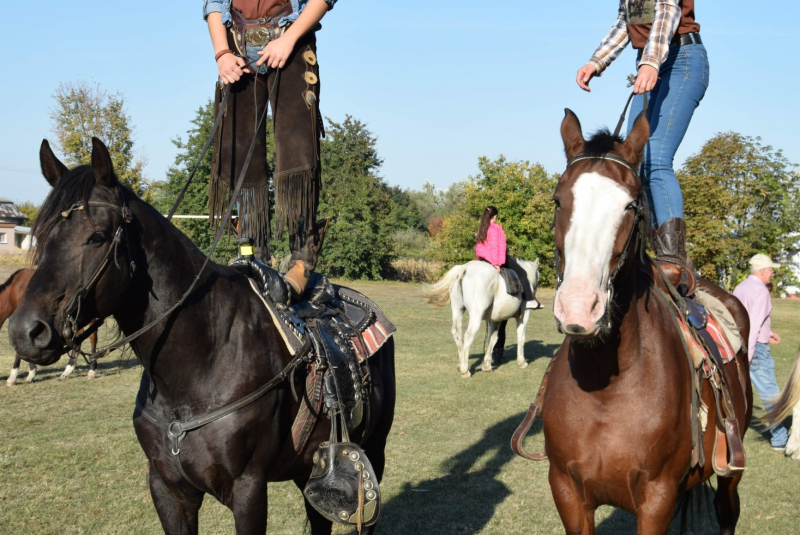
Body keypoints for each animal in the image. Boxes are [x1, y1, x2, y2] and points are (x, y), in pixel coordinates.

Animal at [6, 139, 394, 535]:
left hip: (373, 452)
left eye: (98, 236)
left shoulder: (249, 490)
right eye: (40, 236)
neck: (200, 360)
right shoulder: (167, 489)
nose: (26, 331)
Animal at [540, 111, 752, 532]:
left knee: (727, 510)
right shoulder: (567, 493)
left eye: (629, 206)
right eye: (558, 200)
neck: (605, 388)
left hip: (730, 472)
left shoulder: (658, 498)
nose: (578, 307)